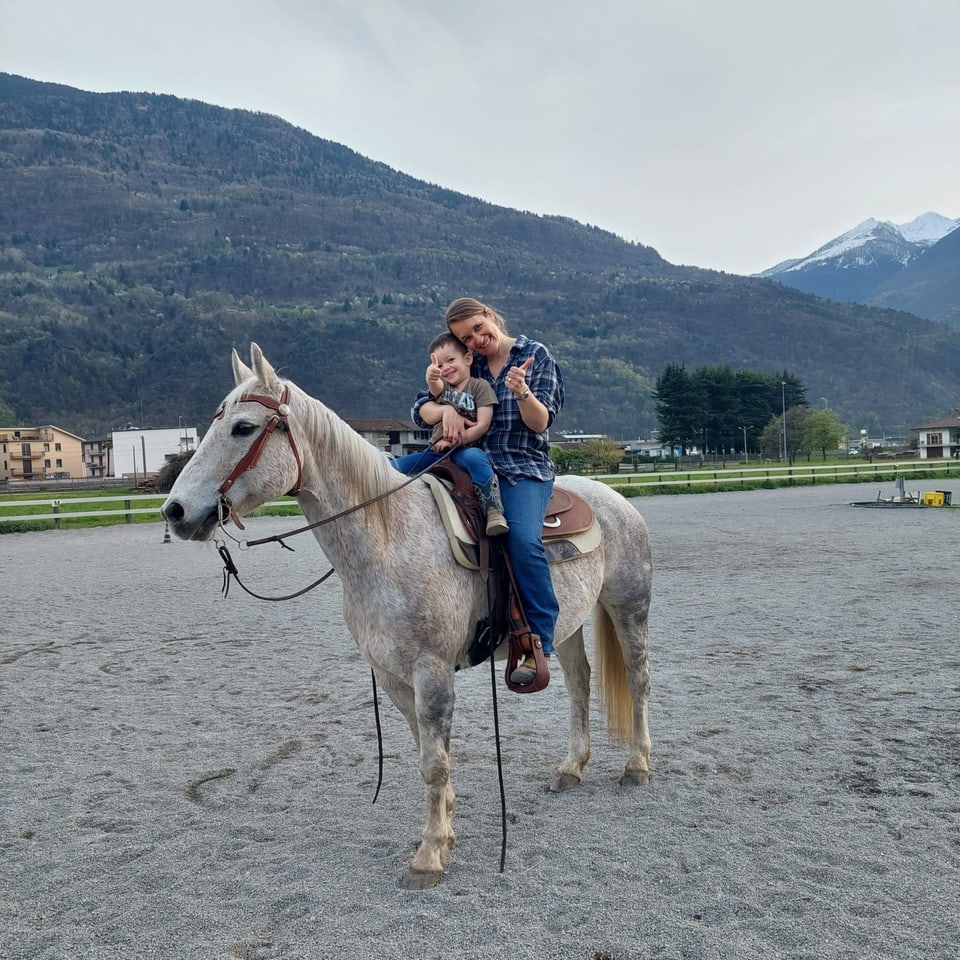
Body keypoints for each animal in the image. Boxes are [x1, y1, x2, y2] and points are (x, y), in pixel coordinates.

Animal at [163, 342, 652, 888]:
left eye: (243, 427)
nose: (176, 511)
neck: (388, 537)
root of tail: (613, 498)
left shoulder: (432, 671)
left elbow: (433, 762)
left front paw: (429, 855)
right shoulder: (393, 675)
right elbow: (426, 752)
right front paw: (448, 825)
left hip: (629, 608)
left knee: (637, 678)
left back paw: (637, 765)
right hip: (565, 624)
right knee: (579, 682)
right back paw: (570, 768)